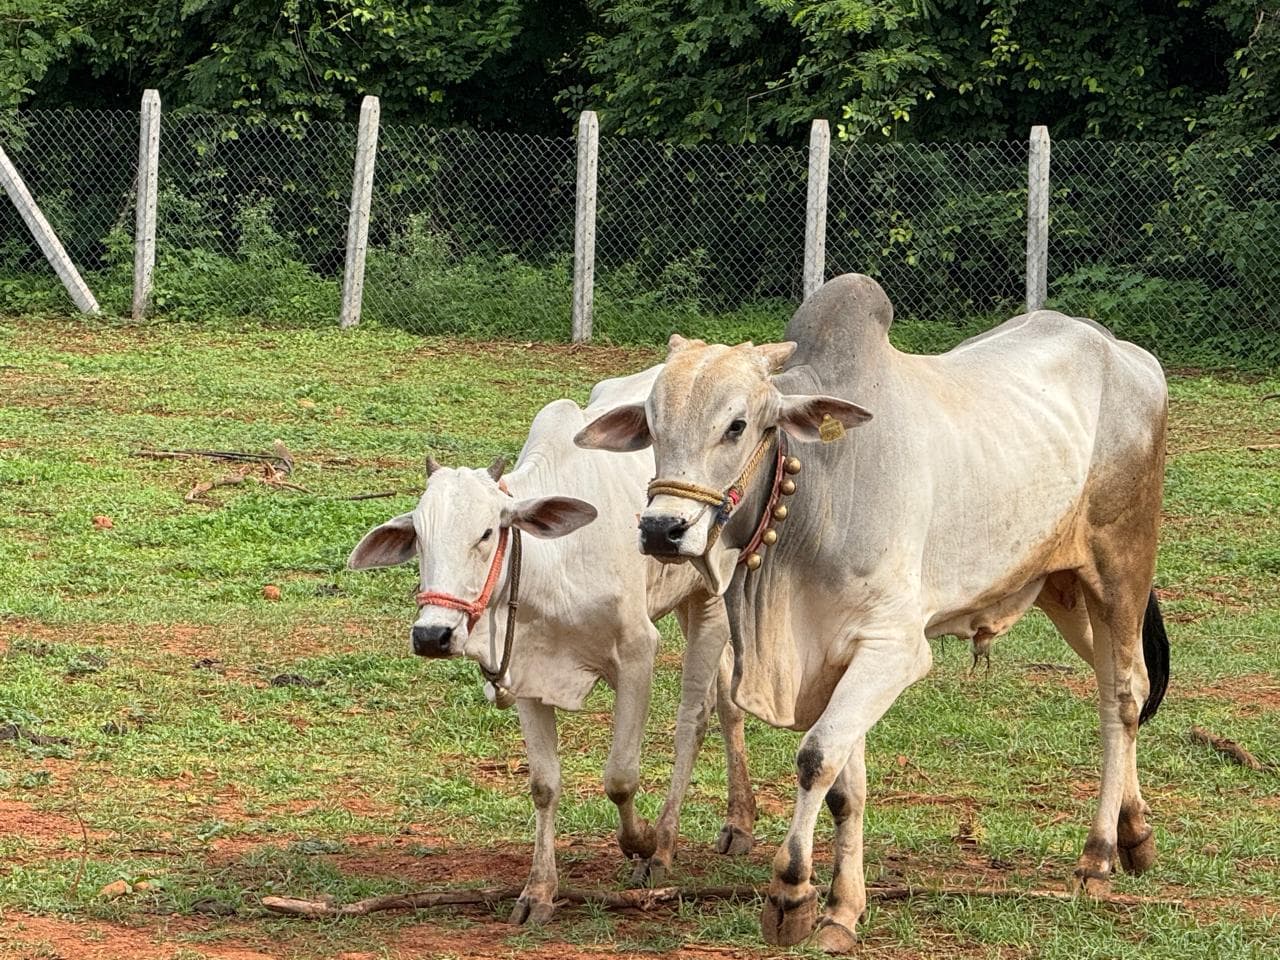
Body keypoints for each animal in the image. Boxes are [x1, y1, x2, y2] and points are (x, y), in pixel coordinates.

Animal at [347, 366, 756, 925]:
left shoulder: (636, 653)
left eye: (487, 533)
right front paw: (538, 891)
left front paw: (642, 842)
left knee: (693, 720)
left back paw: (667, 845)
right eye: (420, 541)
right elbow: (544, 785)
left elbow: (620, 776)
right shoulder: (524, 672)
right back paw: (739, 822)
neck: (553, 561)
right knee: (728, 697)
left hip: (711, 596)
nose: (433, 634)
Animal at [576, 274, 1171, 953]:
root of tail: (1127, 353)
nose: (661, 529)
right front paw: (841, 909)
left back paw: (1097, 856)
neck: (818, 491)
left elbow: (815, 759)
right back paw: (1134, 832)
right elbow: (844, 788)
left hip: (1120, 571)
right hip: (1062, 588)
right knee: (1119, 685)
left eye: (737, 424)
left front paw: (791, 892)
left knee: (1123, 695)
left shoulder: (893, 648)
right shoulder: (837, 653)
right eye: (652, 424)